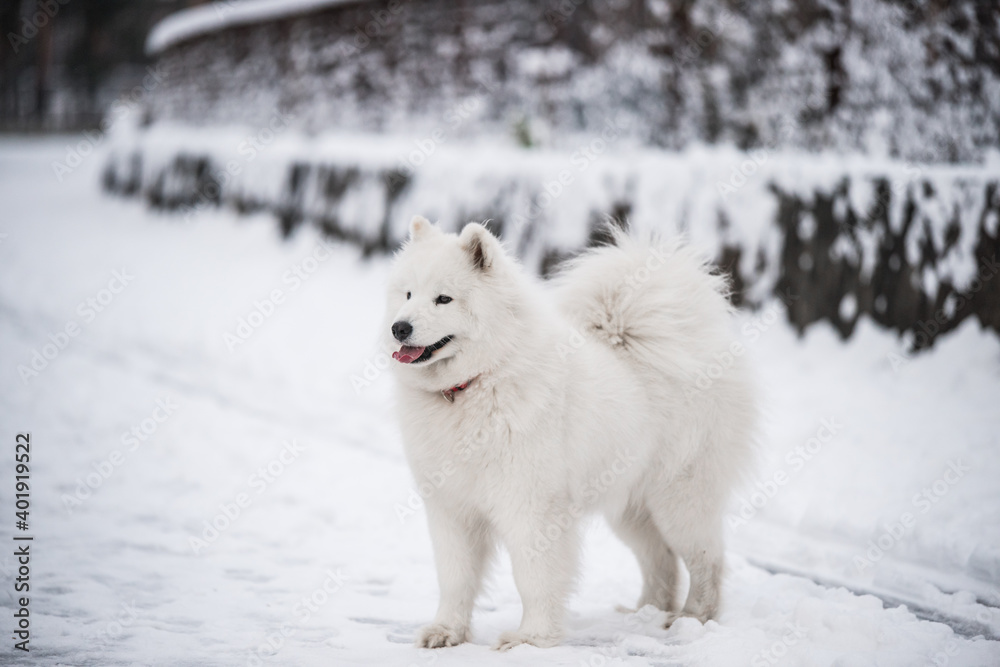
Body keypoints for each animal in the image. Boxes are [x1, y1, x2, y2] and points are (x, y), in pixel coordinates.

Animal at [386, 218, 752, 652]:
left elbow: (535, 578)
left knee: (706, 559)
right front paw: (446, 632)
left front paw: (531, 639)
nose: (399, 327)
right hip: (632, 508)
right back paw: (644, 613)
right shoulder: (452, 508)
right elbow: (455, 578)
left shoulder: (532, 508)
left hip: (679, 500)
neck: (477, 383)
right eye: (408, 294)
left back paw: (693, 617)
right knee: (661, 559)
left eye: (444, 299)